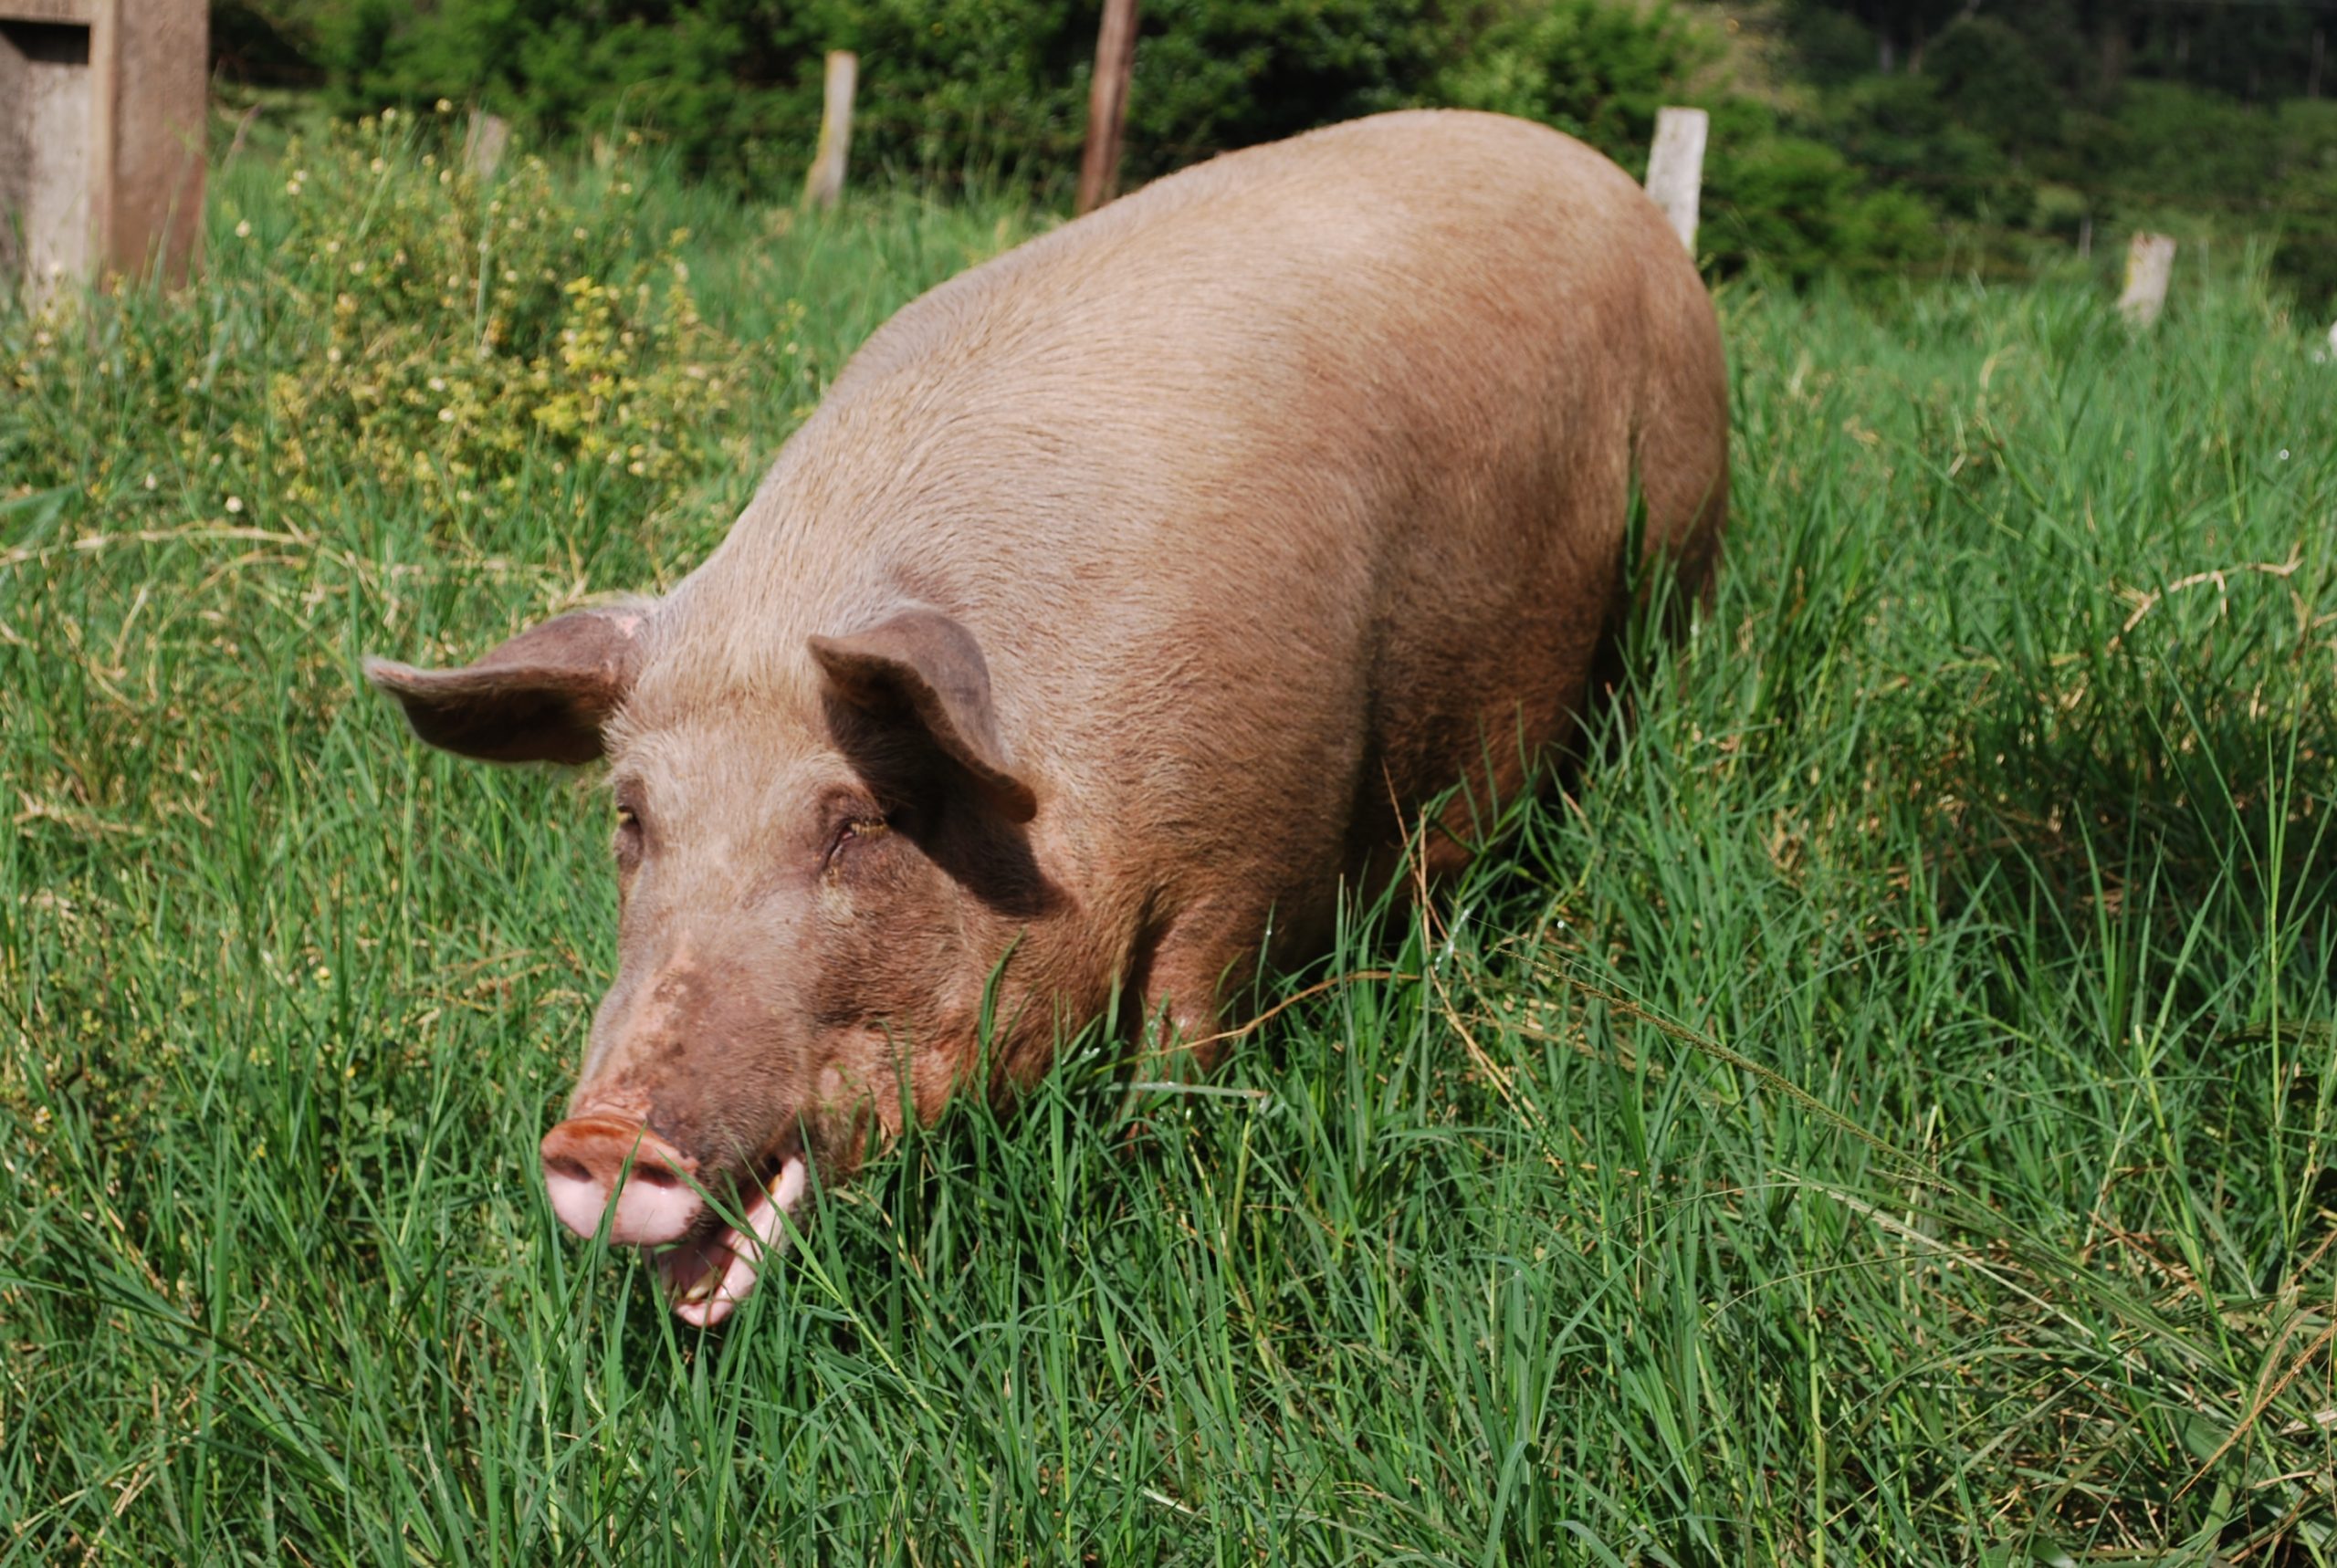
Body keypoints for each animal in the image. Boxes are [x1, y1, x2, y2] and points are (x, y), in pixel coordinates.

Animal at [360, 107, 1720, 1327]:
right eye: (632, 818)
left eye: (858, 818)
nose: (600, 1133)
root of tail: (1614, 184)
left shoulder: (1254, 842)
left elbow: (1186, 1039)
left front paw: (1161, 1174)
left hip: (1676, 554)